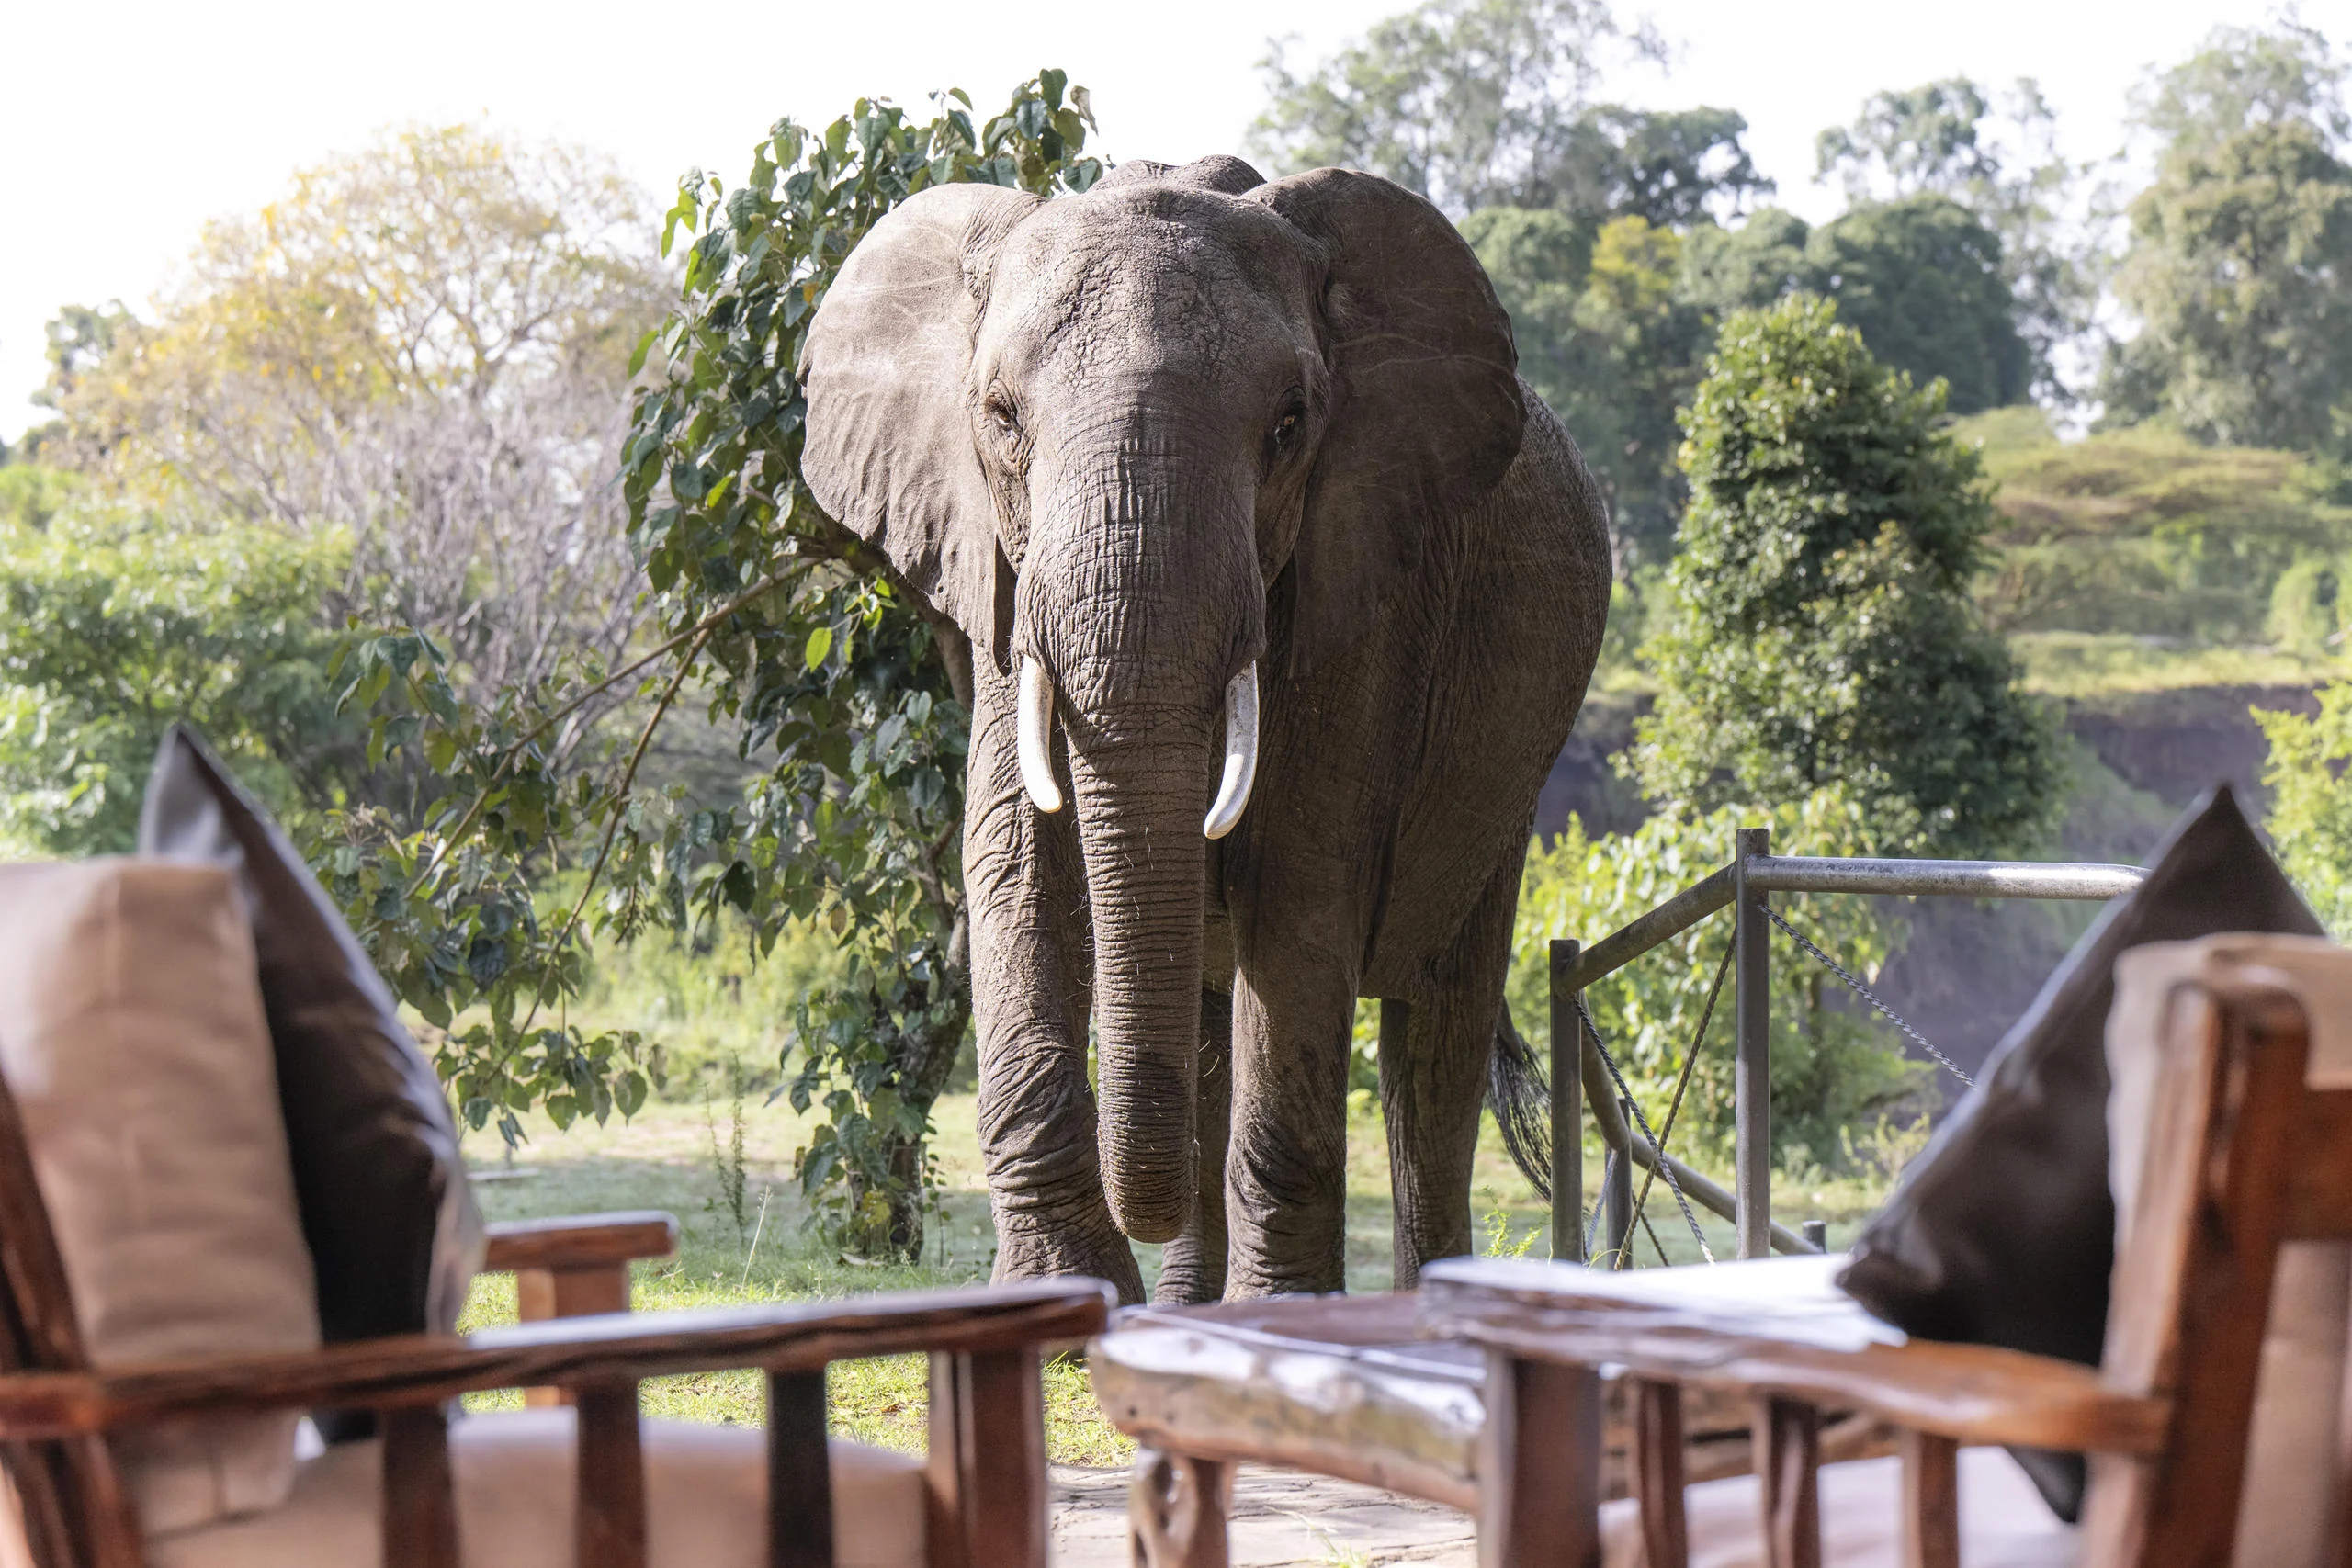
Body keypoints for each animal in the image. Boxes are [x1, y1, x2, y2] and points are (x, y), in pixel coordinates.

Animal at [801, 153, 1611, 1303]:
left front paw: (1280, 1315)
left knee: (1434, 1041)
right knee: (1213, 1008)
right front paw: (1066, 1295)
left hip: (1507, 779)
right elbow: (1016, 871)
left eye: (1288, 426)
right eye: (999, 416)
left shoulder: (1364, 591)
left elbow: (1302, 888)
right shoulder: (999, 583)